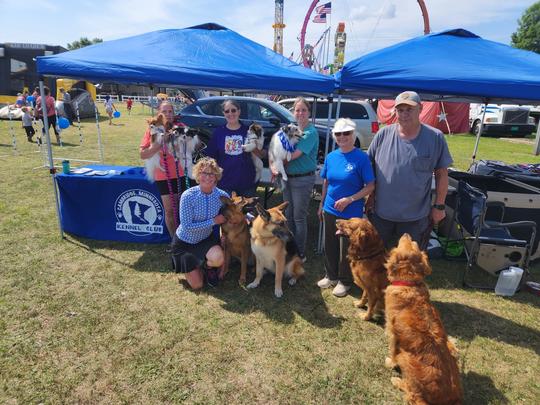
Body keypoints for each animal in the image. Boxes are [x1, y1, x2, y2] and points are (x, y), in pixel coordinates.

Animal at [384, 234, 464, 404]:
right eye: (414, 244)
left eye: (409, 243)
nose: (407, 234)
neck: (409, 284)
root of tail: (451, 400)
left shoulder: (393, 333)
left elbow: (392, 351)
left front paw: (390, 363)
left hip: (406, 359)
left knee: (411, 395)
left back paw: (397, 381)